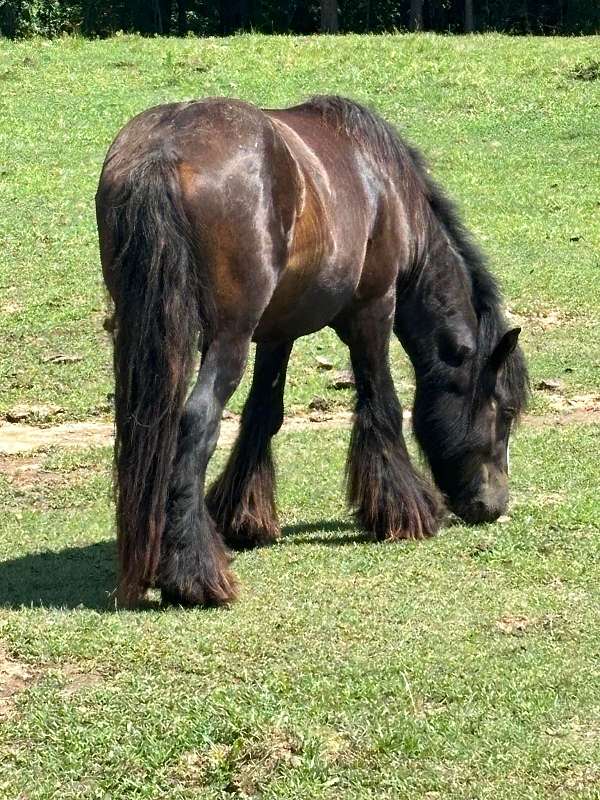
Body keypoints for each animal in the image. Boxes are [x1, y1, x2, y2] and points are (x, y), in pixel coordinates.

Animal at [96, 95, 528, 608]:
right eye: (504, 413)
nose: (495, 505)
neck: (384, 186)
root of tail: (166, 149)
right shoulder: (373, 309)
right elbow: (382, 403)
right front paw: (406, 512)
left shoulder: (277, 332)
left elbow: (263, 415)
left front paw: (244, 517)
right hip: (227, 339)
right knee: (196, 422)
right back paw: (193, 574)